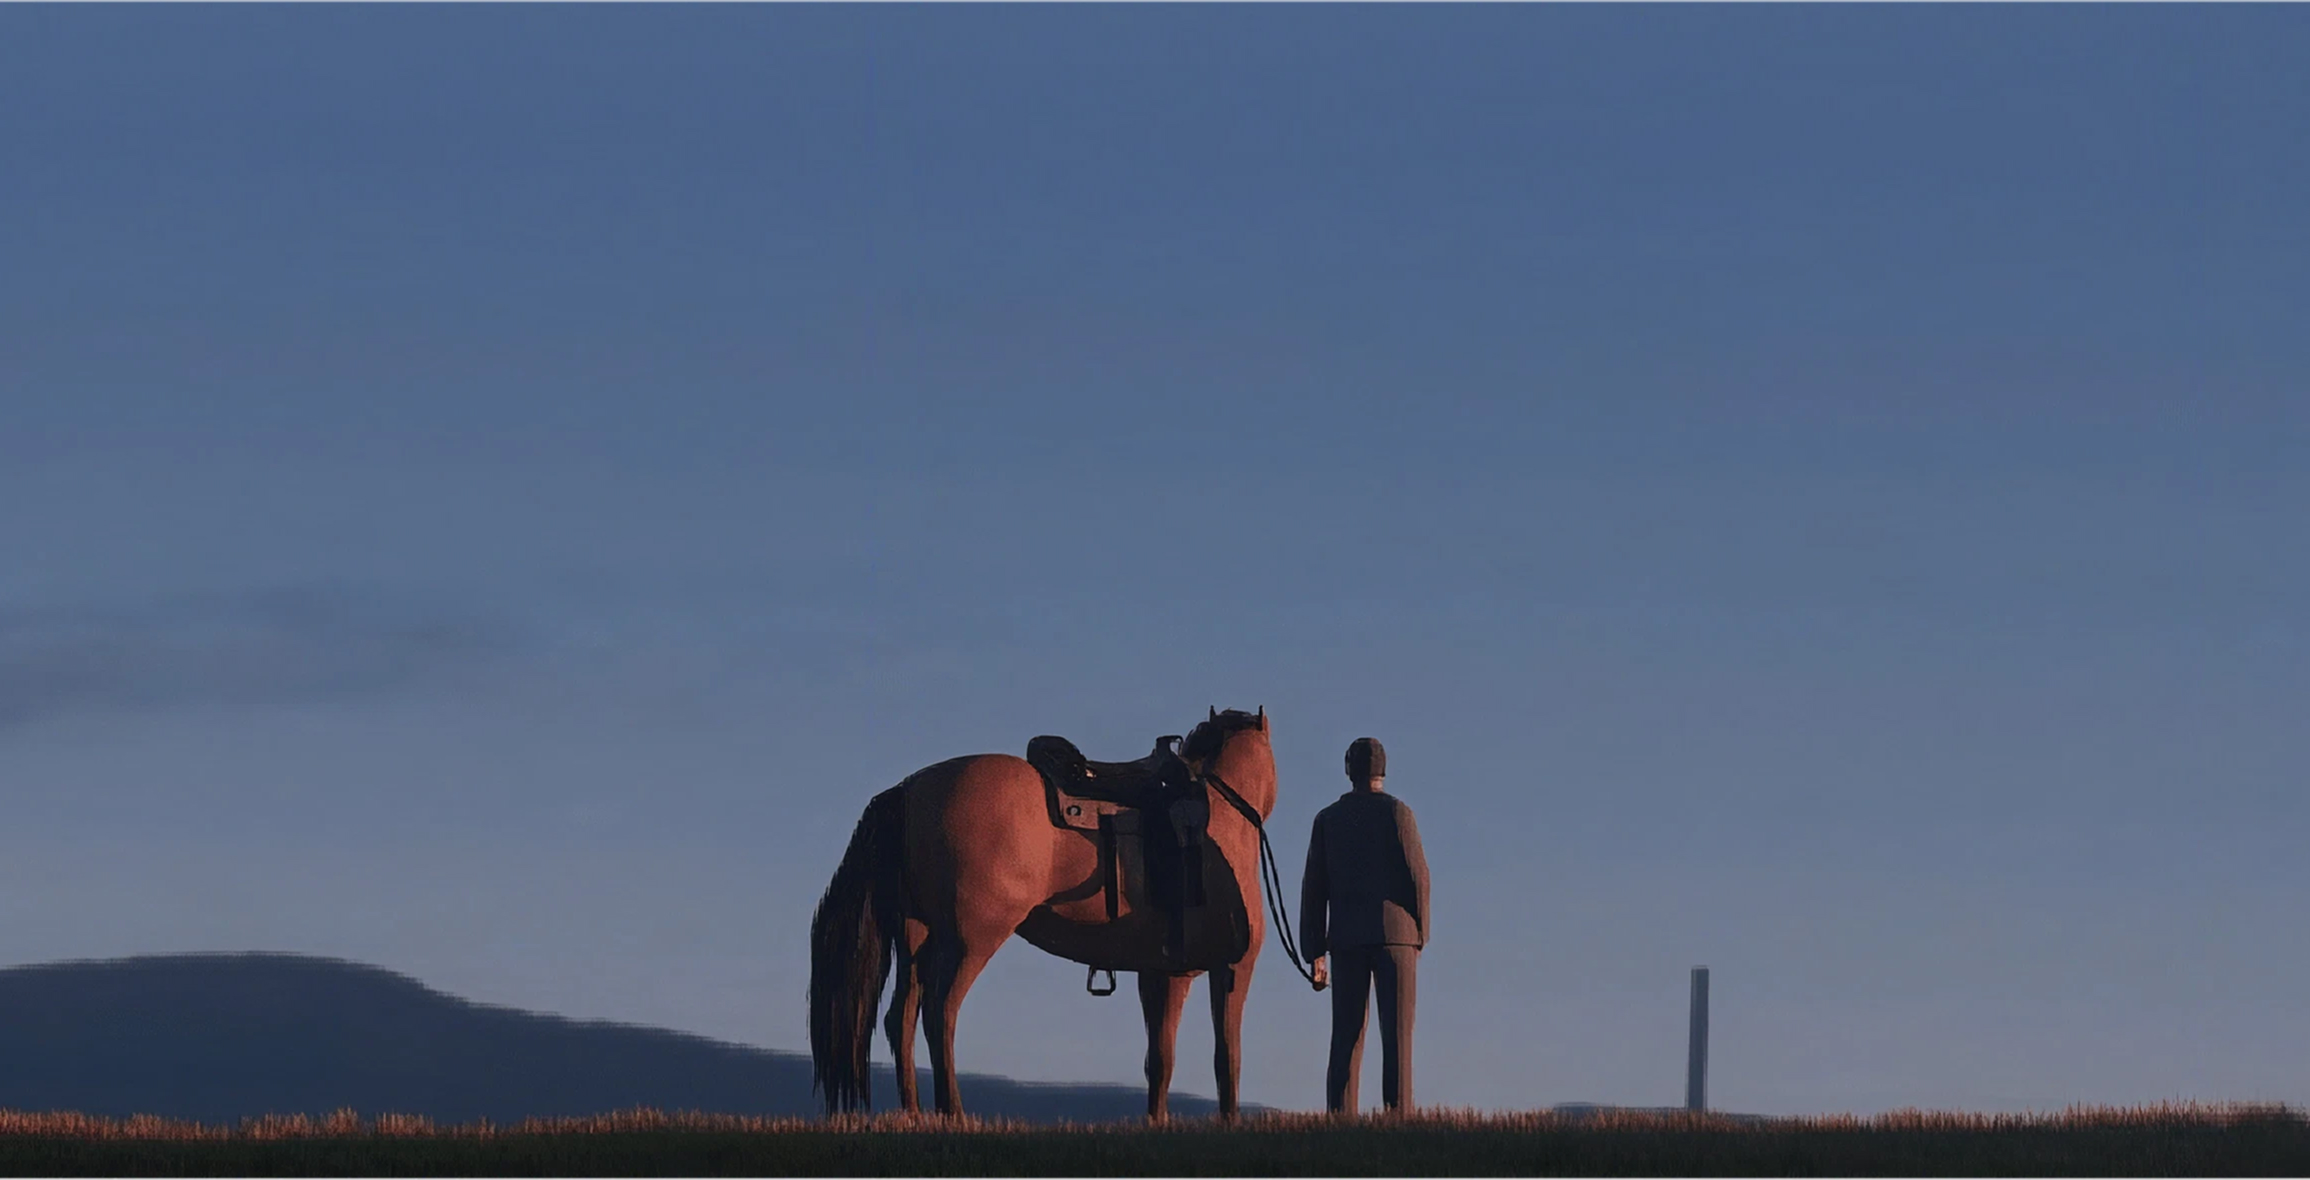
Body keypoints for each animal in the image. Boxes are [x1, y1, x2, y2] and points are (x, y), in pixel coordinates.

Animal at [807, 707, 1286, 1120]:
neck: (1219, 815)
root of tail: (908, 790)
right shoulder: (1232, 968)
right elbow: (1227, 1056)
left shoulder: (1163, 975)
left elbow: (1160, 1059)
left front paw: (1157, 1122)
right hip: (969, 942)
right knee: (940, 1014)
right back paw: (953, 1112)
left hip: (915, 941)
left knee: (900, 1018)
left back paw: (915, 1112)